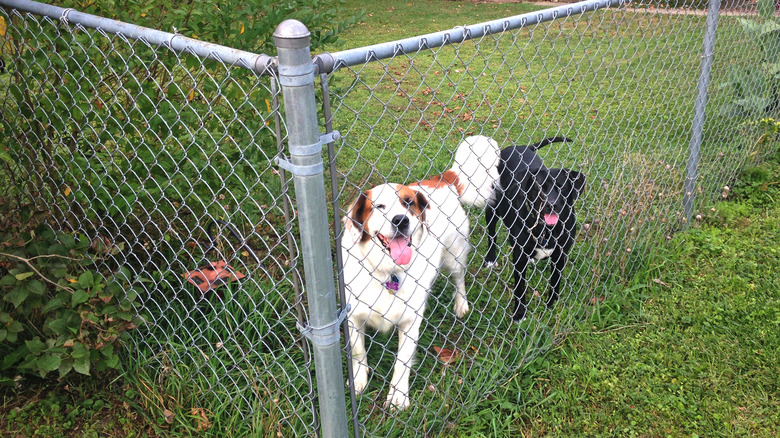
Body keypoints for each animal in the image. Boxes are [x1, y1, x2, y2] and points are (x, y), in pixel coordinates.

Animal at [342, 135, 500, 408]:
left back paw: (461, 305)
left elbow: (402, 362)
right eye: (379, 206)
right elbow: (358, 352)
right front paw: (359, 381)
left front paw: (398, 396)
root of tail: (442, 179)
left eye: (408, 203)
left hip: (453, 257)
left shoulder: (410, 320)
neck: (387, 271)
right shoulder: (353, 315)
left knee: (459, 279)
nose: (400, 220)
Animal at [482, 137, 584, 322]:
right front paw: (519, 314)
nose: (551, 204)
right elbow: (520, 288)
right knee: (492, 234)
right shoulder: (519, 258)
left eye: (562, 187)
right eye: (538, 187)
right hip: (492, 207)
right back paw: (491, 258)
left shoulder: (560, 255)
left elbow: (555, 282)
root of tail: (521, 147)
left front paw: (551, 304)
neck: (546, 229)